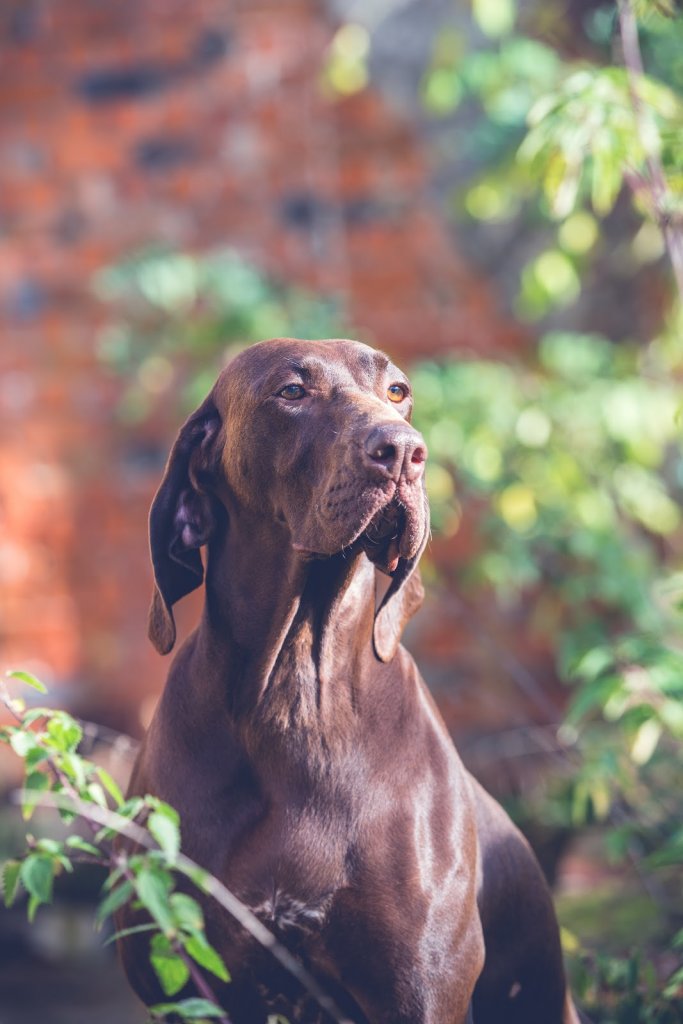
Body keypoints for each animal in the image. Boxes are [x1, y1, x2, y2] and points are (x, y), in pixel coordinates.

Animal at [120, 339, 585, 1019]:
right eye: (292, 391)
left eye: (397, 391)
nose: (405, 451)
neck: (293, 694)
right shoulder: (189, 987)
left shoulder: (421, 989)